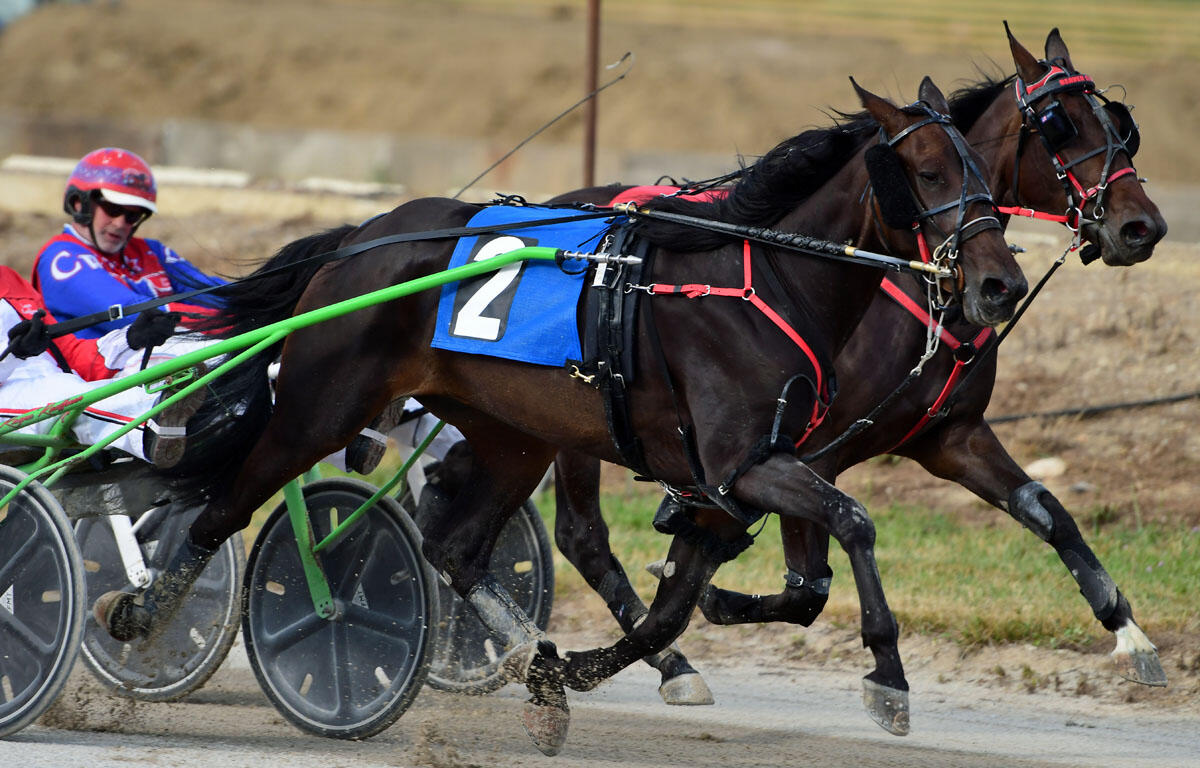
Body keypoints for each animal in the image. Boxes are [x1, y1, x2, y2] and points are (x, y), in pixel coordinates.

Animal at [95, 76, 1027, 753]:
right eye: (930, 173)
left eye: (987, 176)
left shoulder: (727, 482)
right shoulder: (742, 465)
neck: (760, 276)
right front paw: (888, 679)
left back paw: (531, 664)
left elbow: (687, 602)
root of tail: (361, 238)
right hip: (321, 410)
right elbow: (853, 521)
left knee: (455, 546)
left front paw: (582, 667)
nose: (999, 285)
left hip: (513, 436)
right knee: (225, 506)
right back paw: (139, 614)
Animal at [547, 24, 1169, 704]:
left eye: (1119, 126)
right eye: (1062, 126)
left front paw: (1128, 630)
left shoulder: (949, 436)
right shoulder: (807, 451)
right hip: (575, 426)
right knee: (582, 537)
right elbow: (801, 586)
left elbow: (1045, 509)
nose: (1144, 227)